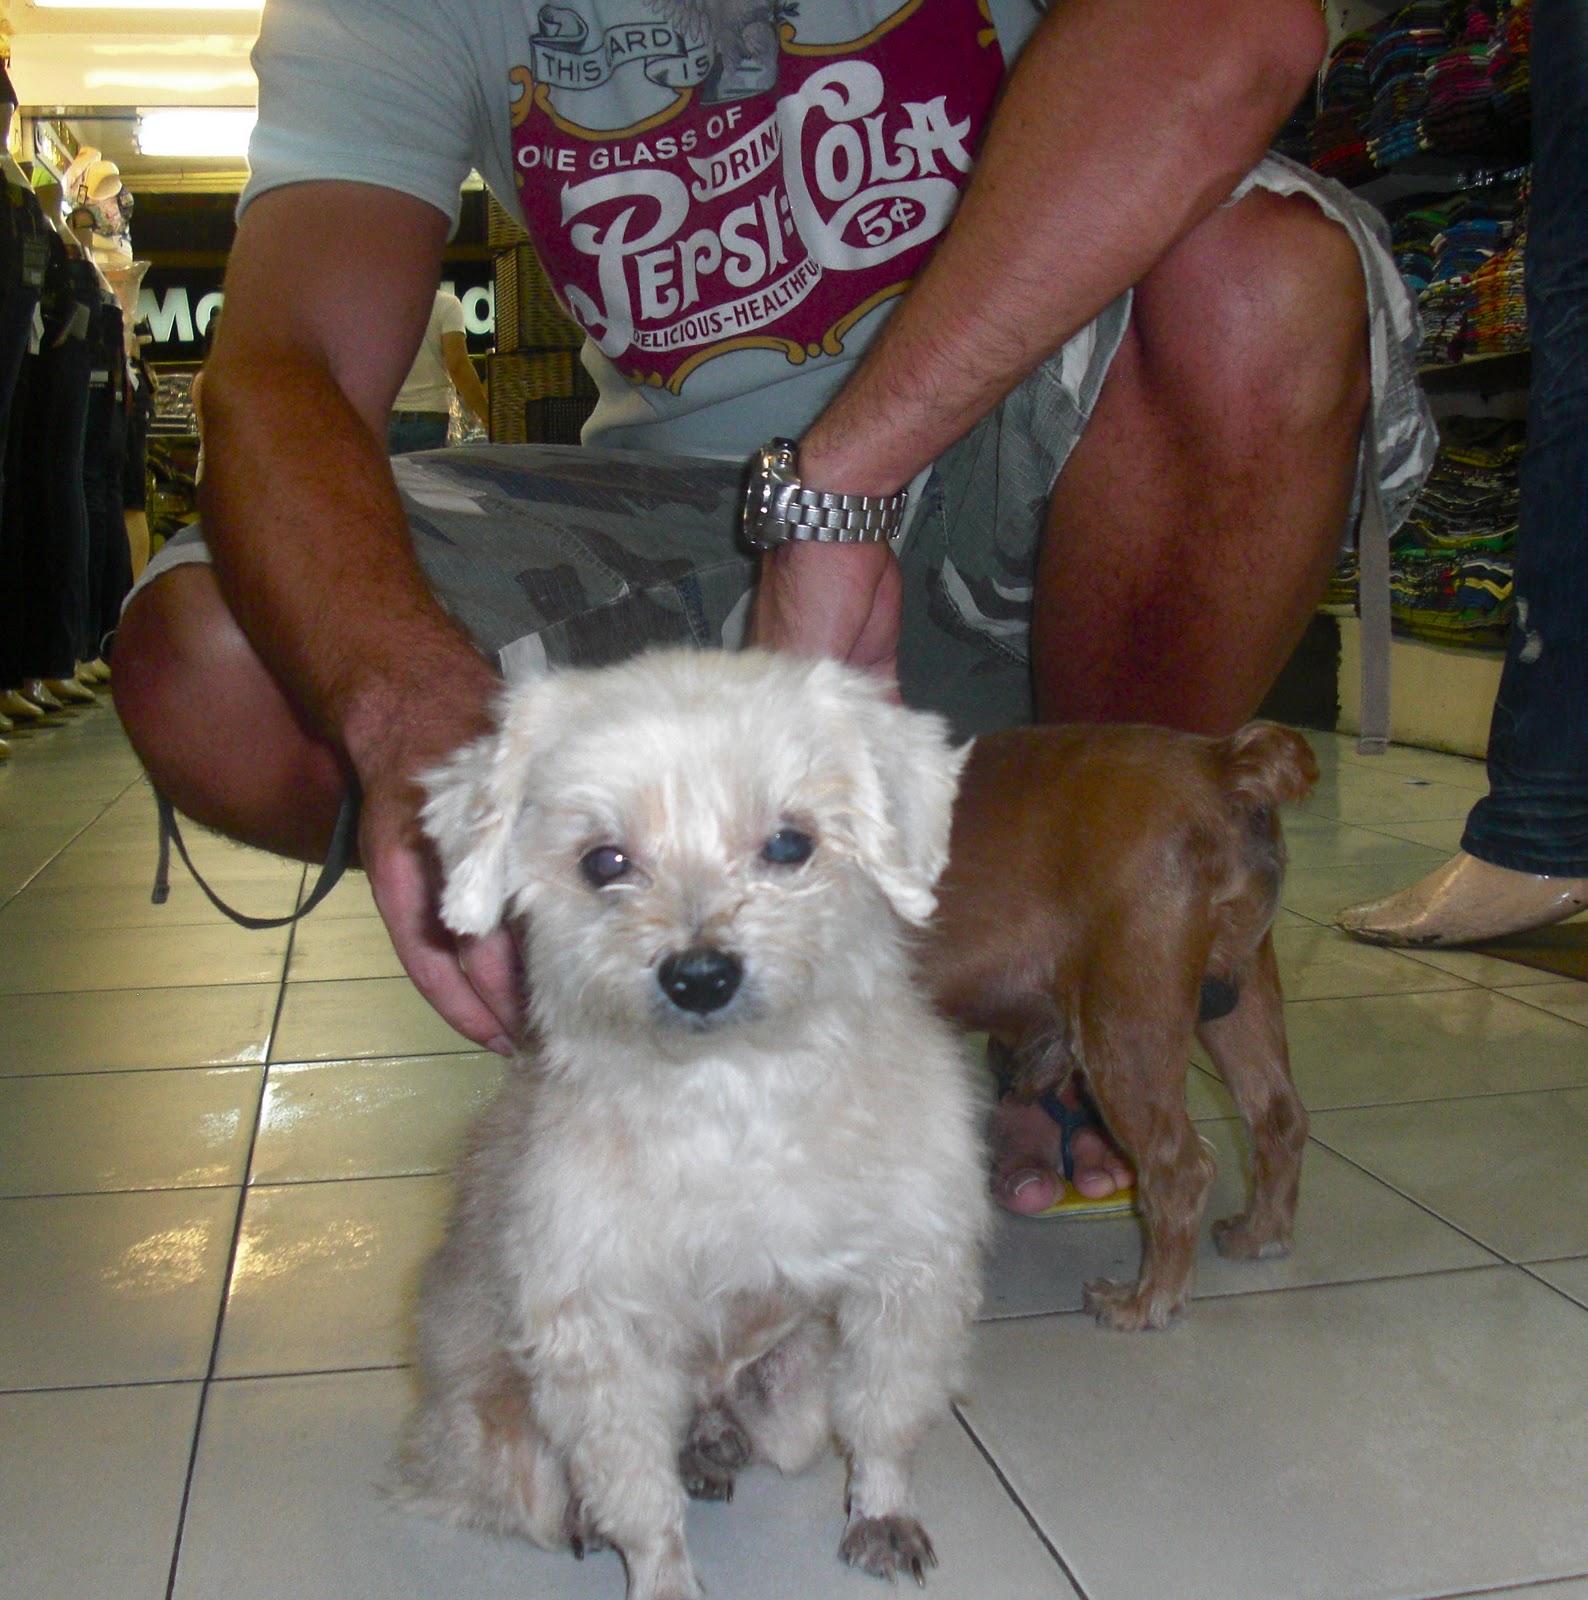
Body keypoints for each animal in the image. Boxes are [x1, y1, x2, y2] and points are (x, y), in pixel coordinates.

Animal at [398, 647, 990, 1600]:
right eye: (604, 861)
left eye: (790, 843)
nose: (700, 975)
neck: (733, 1099)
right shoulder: (597, 1337)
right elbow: (637, 1492)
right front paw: (662, 1577)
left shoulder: (906, 1283)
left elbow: (884, 1417)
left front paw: (882, 1511)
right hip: (511, 1436)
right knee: (559, 1482)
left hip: (789, 1403)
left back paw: (713, 1444)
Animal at [921, 719, 1319, 1332]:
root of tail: (1221, 764)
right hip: (1239, 996)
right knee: (1278, 1119)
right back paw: (1258, 1235)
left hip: (1124, 1025)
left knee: (1180, 1169)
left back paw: (1145, 1300)